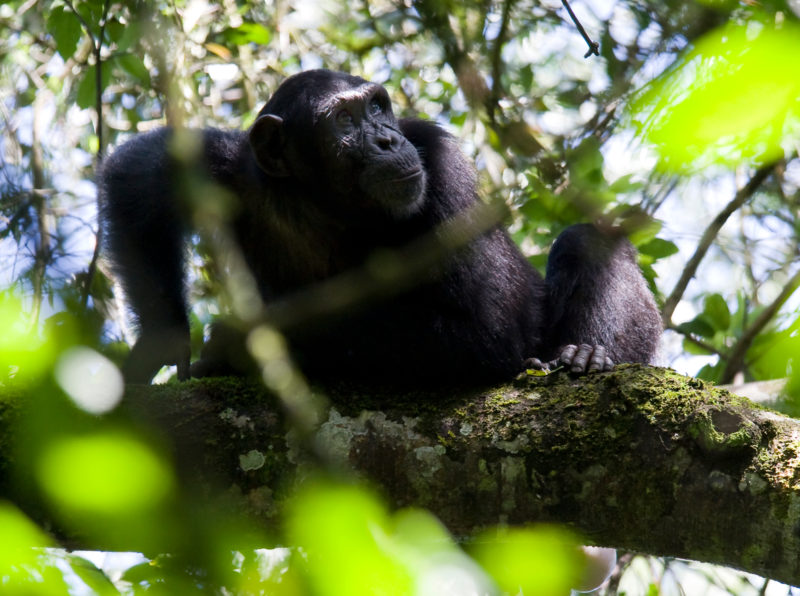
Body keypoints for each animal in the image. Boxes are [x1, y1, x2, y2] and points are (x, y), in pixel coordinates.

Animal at [98, 70, 664, 386]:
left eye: (376, 106)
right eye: (344, 121)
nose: (389, 140)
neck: (325, 204)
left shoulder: (443, 167)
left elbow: (486, 329)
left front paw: (239, 343)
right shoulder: (231, 167)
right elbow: (141, 175)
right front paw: (161, 344)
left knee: (587, 242)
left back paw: (585, 354)